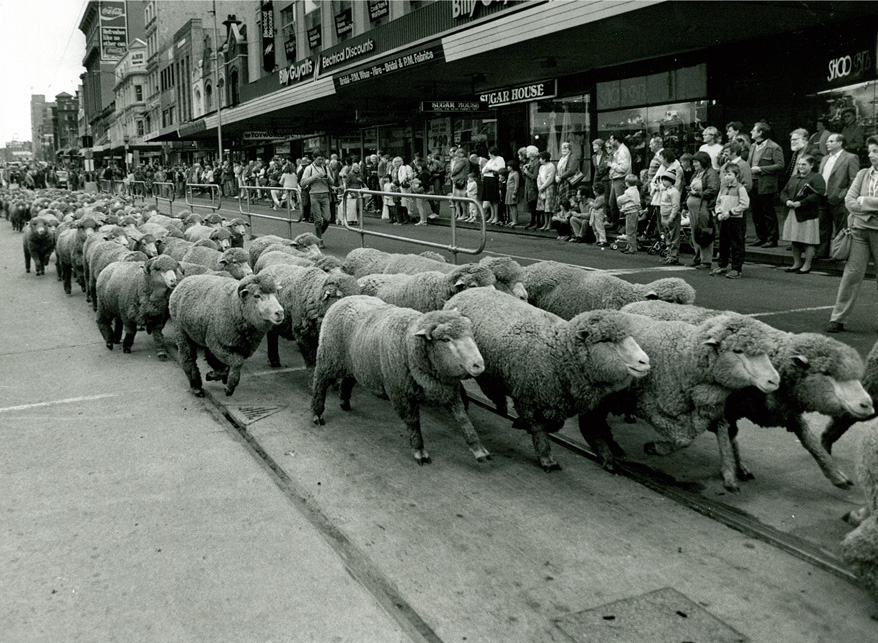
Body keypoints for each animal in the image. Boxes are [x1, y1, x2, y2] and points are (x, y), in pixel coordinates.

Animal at [312, 296, 490, 464]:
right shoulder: (401, 394)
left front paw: (479, 450)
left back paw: (344, 402)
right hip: (329, 359)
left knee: (347, 381)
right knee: (320, 382)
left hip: (355, 365)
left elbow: (463, 419)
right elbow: (413, 421)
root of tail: (344, 299)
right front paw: (419, 451)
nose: (478, 365)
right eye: (446, 339)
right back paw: (317, 413)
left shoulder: (449, 392)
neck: (409, 345)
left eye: (471, 334)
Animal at [444, 287, 651, 471]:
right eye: (607, 340)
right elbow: (539, 428)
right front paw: (546, 458)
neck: (558, 351)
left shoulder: (553, 399)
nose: (644, 361)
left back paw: (499, 403)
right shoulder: (528, 397)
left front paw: (522, 424)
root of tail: (465, 292)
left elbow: (553, 425)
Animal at [579, 312, 781, 491]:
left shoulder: (710, 409)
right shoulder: (652, 407)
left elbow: (717, 433)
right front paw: (654, 447)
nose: (774, 380)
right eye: (738, 351)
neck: (687, 357)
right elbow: (684, 439)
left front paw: (730, 473)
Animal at [622, 300, 874, 490]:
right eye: (827, 374)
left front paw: (836, 474)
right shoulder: (725, 406)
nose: (868, 405)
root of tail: (637, 302)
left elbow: (811, 443)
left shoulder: (784, 411)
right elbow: (725, 435)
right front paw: (730, 471)